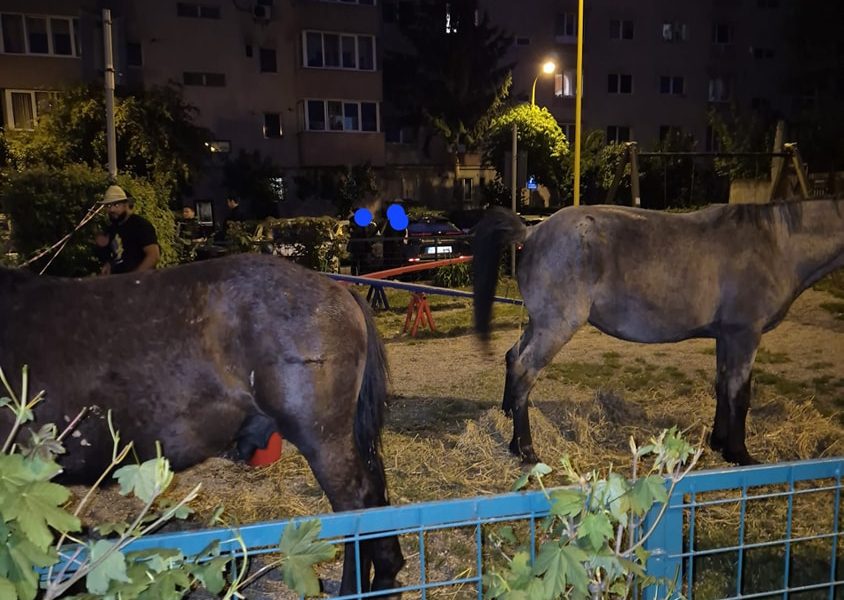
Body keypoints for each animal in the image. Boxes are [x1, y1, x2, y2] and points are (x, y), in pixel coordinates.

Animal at [472, 199, 844, 466]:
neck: (774, 243)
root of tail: (532, 232)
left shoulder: (726, 338)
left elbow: (723, 386)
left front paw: (719, 443)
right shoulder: (744, 335)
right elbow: (740, 393)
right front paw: (740, 453)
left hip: (539, 324)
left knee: (513, 358)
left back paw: (510, 430)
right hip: (555, 327)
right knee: (525, 370)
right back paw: (526, 450)